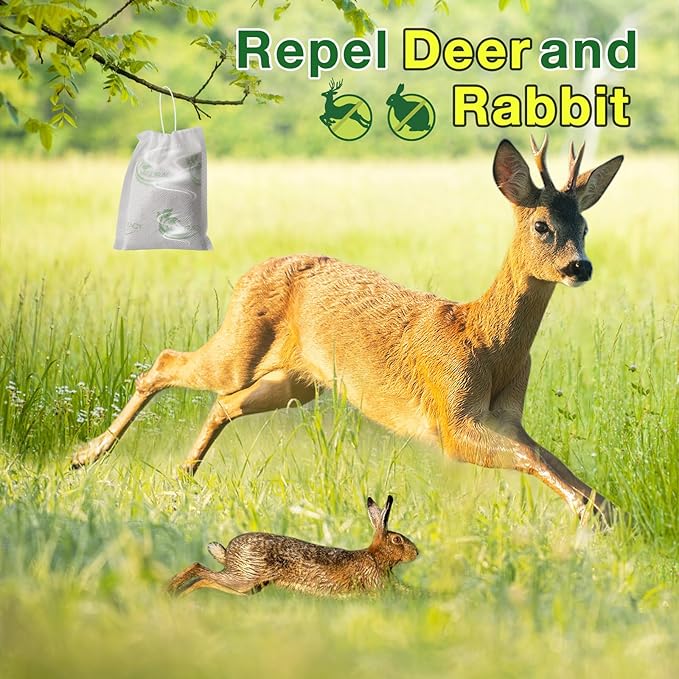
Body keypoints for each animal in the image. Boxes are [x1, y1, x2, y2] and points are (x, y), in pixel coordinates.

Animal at [71, 137, 623, 523]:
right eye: (542, 226)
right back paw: (86, 456)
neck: (486, 341)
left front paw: (602, 510)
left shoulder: (505, 417)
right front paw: (585, 512)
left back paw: (183, 473)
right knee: (166, 363)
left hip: (299, 383)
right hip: (240, 347)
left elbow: (542, 455)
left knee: (224, 403)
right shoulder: (451, 416)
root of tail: (247, 274)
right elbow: (532, 458)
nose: (580, 266)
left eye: (585, 227)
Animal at [167, 495, 418, 597]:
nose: (416, 553)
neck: (376, 557)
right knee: (200, 571)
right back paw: (173, 593)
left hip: (251, 585)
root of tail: (229, 552)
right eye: (397, 540)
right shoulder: (377, 583)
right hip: (244, 578)